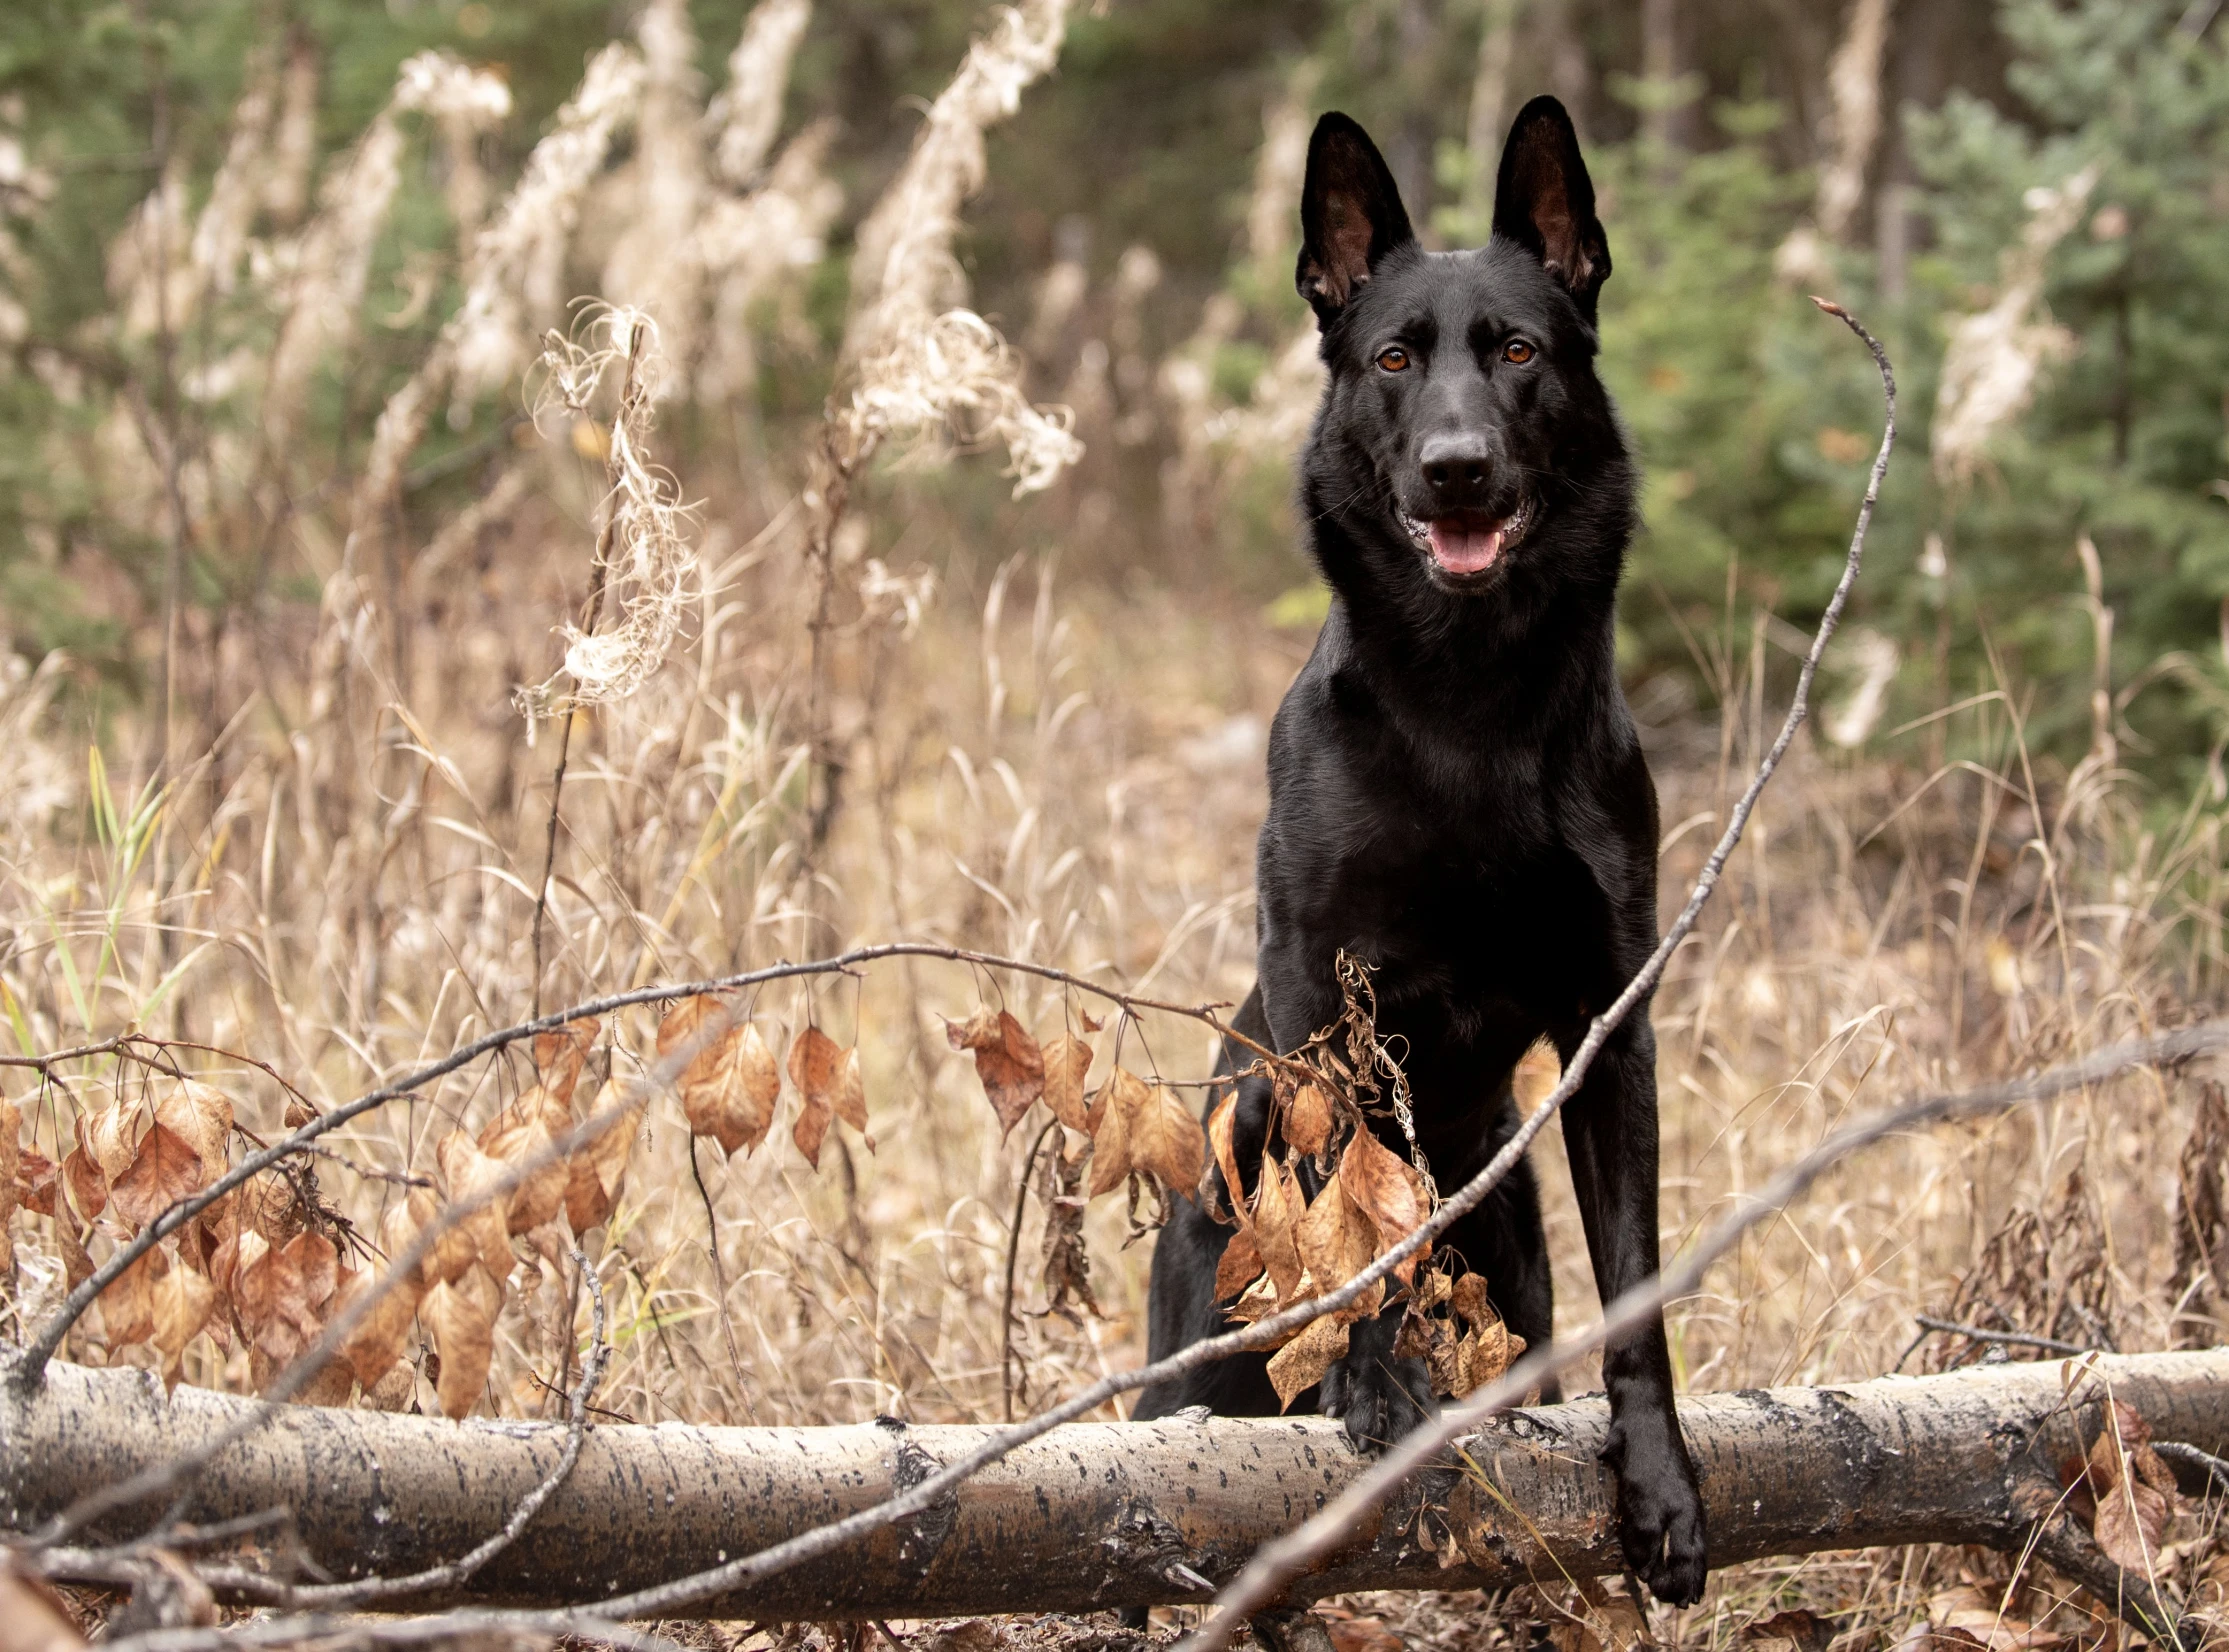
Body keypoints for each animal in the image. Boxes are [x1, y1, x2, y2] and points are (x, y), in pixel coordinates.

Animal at [1141, 96, 1711, 1605]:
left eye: (1517, 351)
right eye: (1394, 356)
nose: (1458, 465)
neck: (1470, 702)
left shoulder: (1611, 1022)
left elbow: (1636, 1285)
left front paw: (1659, 1477)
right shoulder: (1322, 1001)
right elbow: (1357, 1217)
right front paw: (1375, 1381)